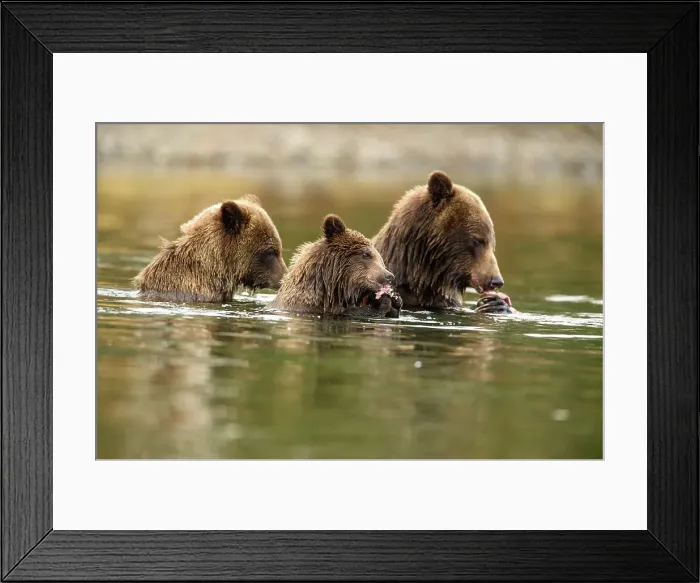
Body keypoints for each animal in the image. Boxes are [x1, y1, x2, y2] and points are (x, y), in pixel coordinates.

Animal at [267, 214, 403, 318]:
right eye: (366, 254)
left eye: (381, 260)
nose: (389, 276)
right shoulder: (309, 307)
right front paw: (382, 302)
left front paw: (396, 300)